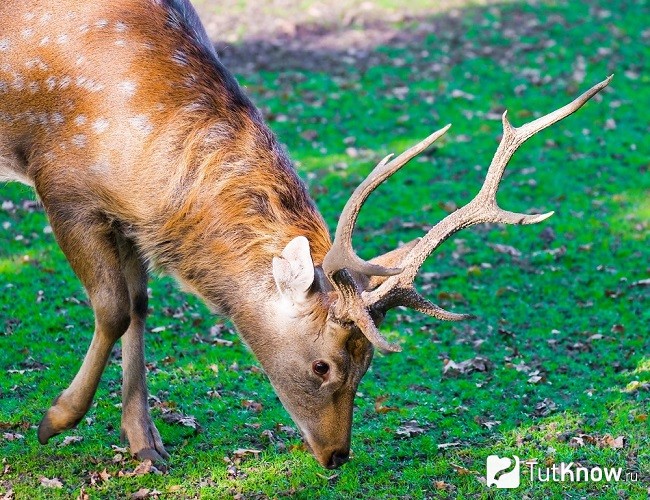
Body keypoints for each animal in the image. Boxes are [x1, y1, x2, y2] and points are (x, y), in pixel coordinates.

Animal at [0, 0, 610, 469]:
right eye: (323, 365)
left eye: (367, 364)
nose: (337, 456)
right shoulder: (64, 185)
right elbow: (114, 308)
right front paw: (54, 421)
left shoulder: (126, 215)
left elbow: (141, 306)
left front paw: (146, 447)